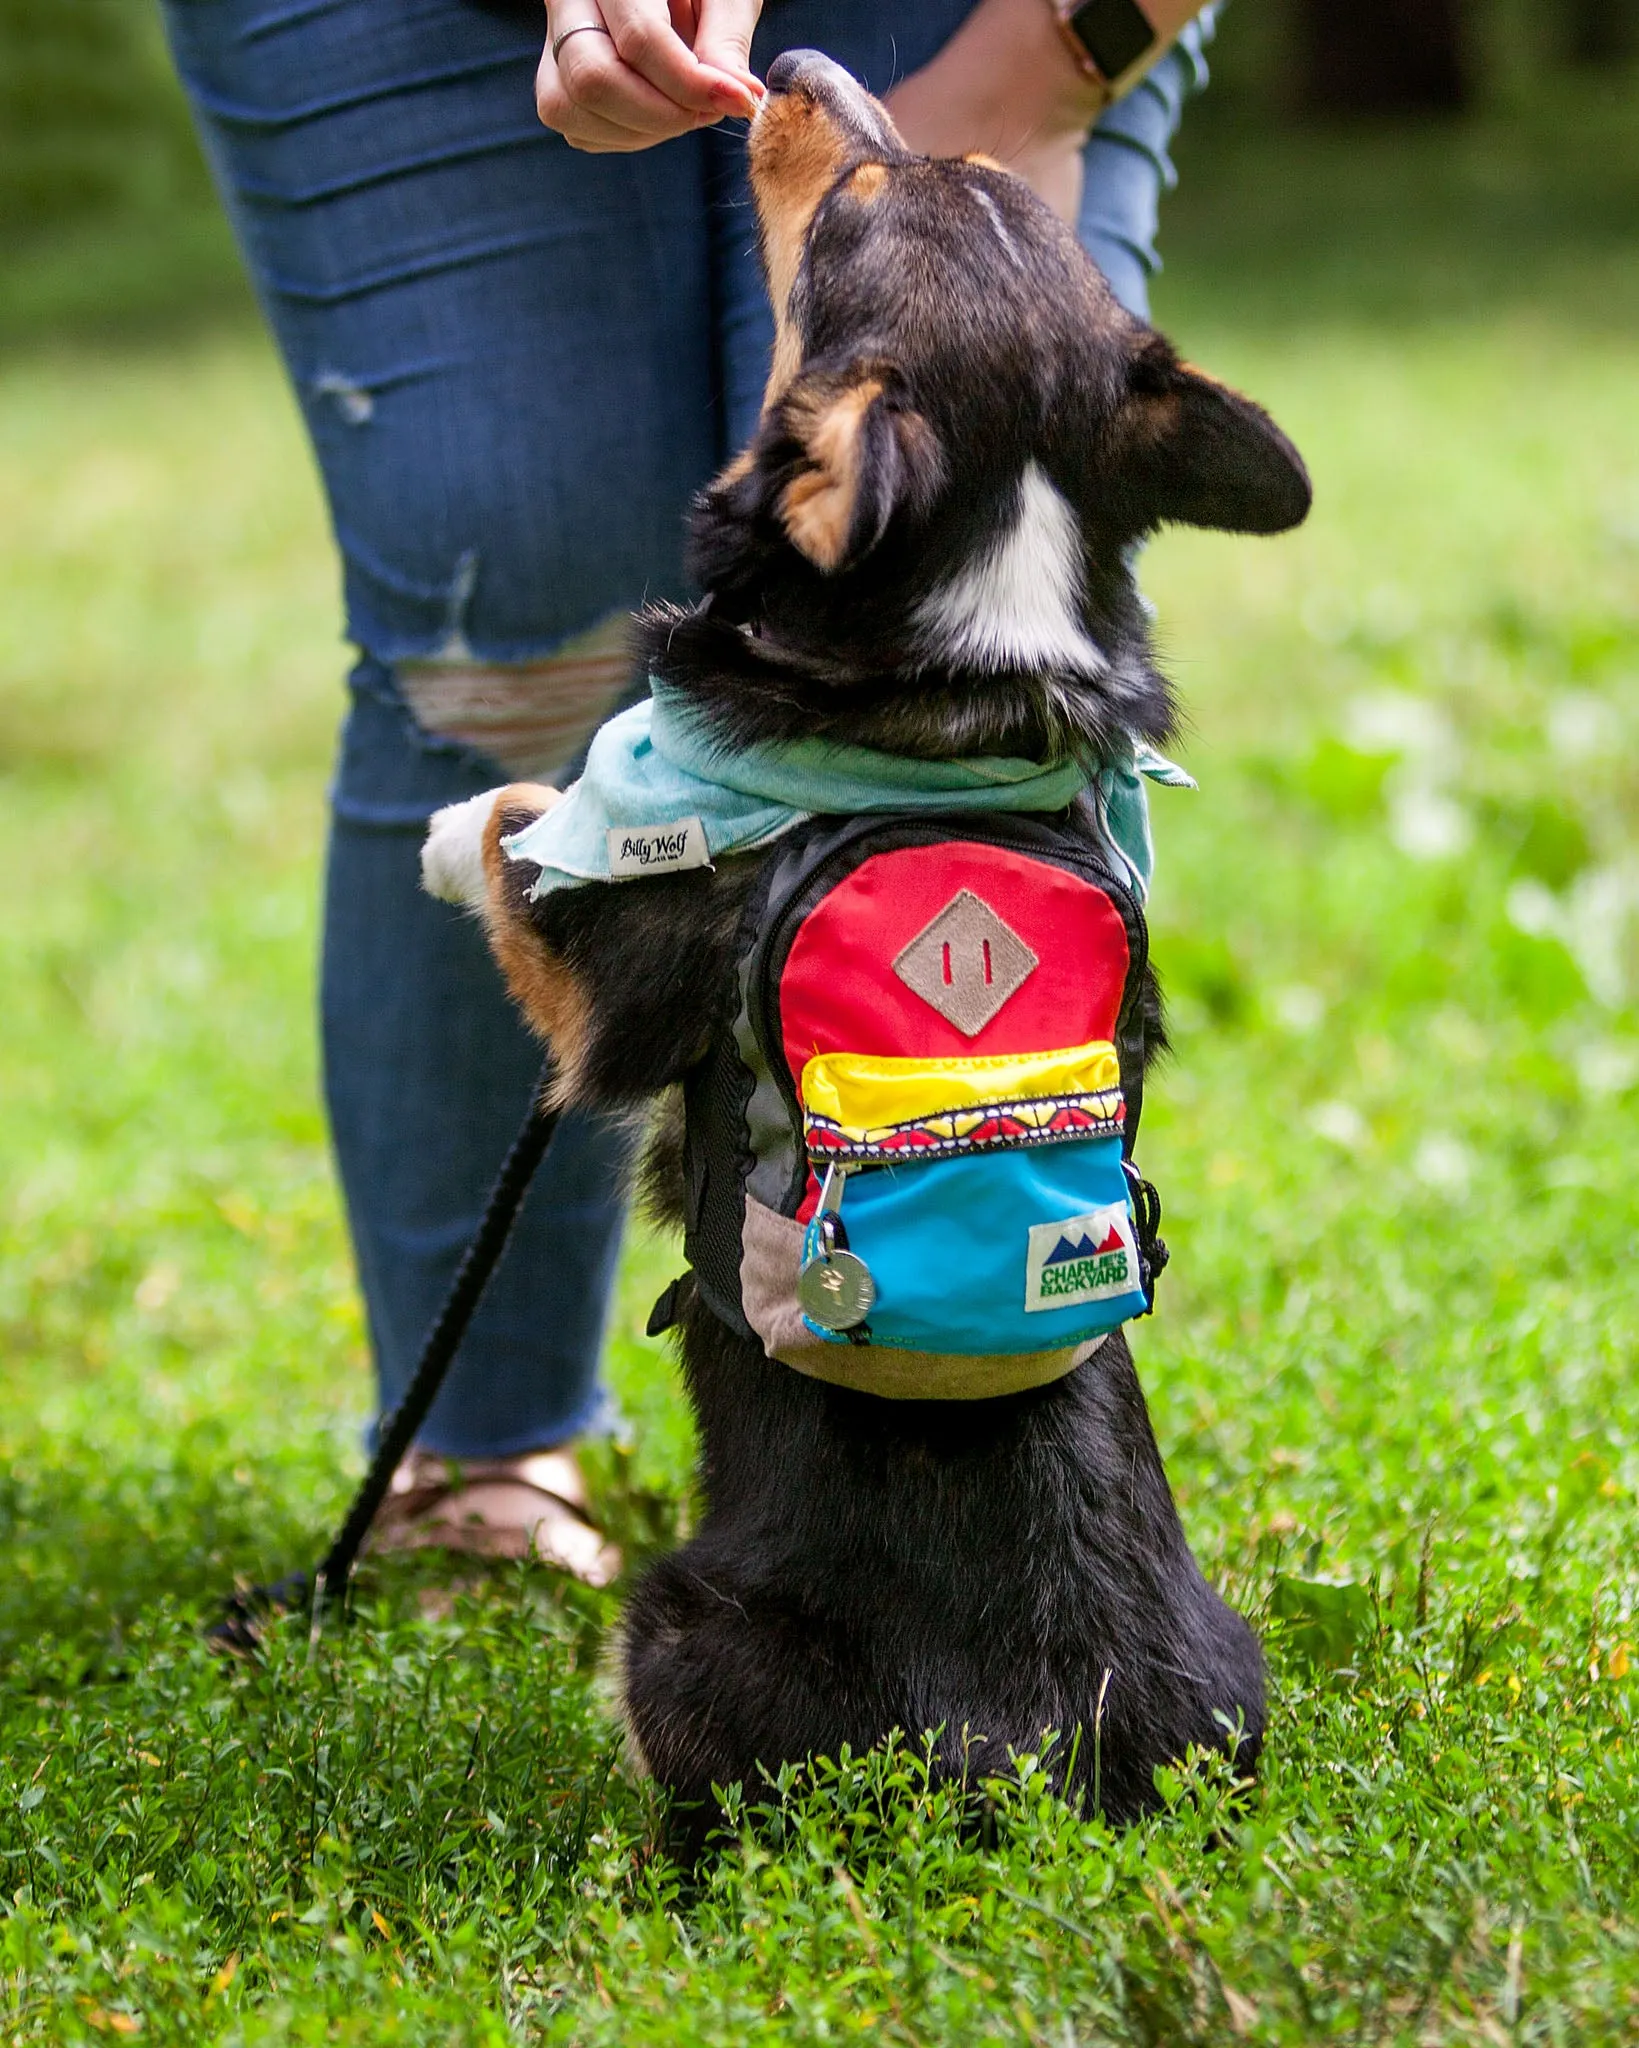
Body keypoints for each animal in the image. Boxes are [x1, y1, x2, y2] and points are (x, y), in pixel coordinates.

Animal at [422, 51, 1303, 1843]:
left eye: (845, 210)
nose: (798, 64)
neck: (963, 622)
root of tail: (1043, 1772)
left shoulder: (606, 993)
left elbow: (523, 839)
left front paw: (459, 818)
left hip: (671, 1626)